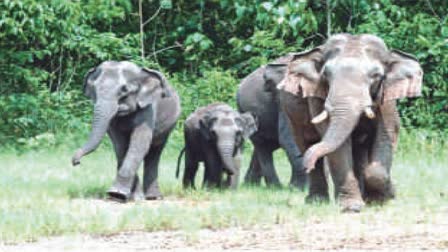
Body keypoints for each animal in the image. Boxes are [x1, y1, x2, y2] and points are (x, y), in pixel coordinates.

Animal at [72, 61, 180, 203]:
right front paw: (126, 197)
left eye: (124, 90)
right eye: (94, 88)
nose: (76, 162)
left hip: (169, 125)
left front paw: (117, 194)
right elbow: (120, 146)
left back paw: (153, 197)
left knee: (155, 151)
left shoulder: (148, 107)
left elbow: (139, 144)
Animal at [278, 33, 422, 211]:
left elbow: (386, 134)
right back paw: (317, 200)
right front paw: (352, 208)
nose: (307, 163)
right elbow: (337, 146)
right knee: (306, 142)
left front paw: (382, 200)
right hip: (292, 115)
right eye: (326, 75)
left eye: (376, 76)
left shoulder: (387, 97)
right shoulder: (318, 95)